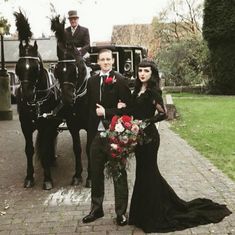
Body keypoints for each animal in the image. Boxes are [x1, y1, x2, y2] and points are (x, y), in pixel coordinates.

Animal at [14, 11, 62, 191]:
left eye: (36, 67)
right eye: (18, 68)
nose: (27, 95)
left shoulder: (46, 124)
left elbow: (46, 147)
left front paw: (47, 179)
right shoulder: (26, 125)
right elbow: (29, 149)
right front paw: (29, 177)